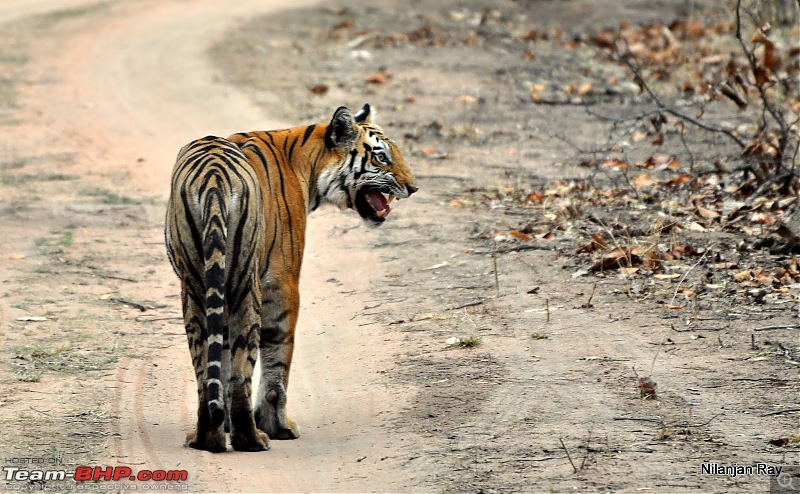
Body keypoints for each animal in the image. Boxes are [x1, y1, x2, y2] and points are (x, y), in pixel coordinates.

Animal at [166, 104, 422, 452]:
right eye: (382, 157)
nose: (413, 187)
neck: (307, 163)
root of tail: (214, 175)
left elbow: (226, 361)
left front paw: (228, 423)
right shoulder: (282, 280)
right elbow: (276, 361)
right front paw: (278, 426)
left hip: (194, 285)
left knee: (206, 368)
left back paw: (207, 438)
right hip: (247, 284)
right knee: (245, 368)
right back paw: (252, 438)